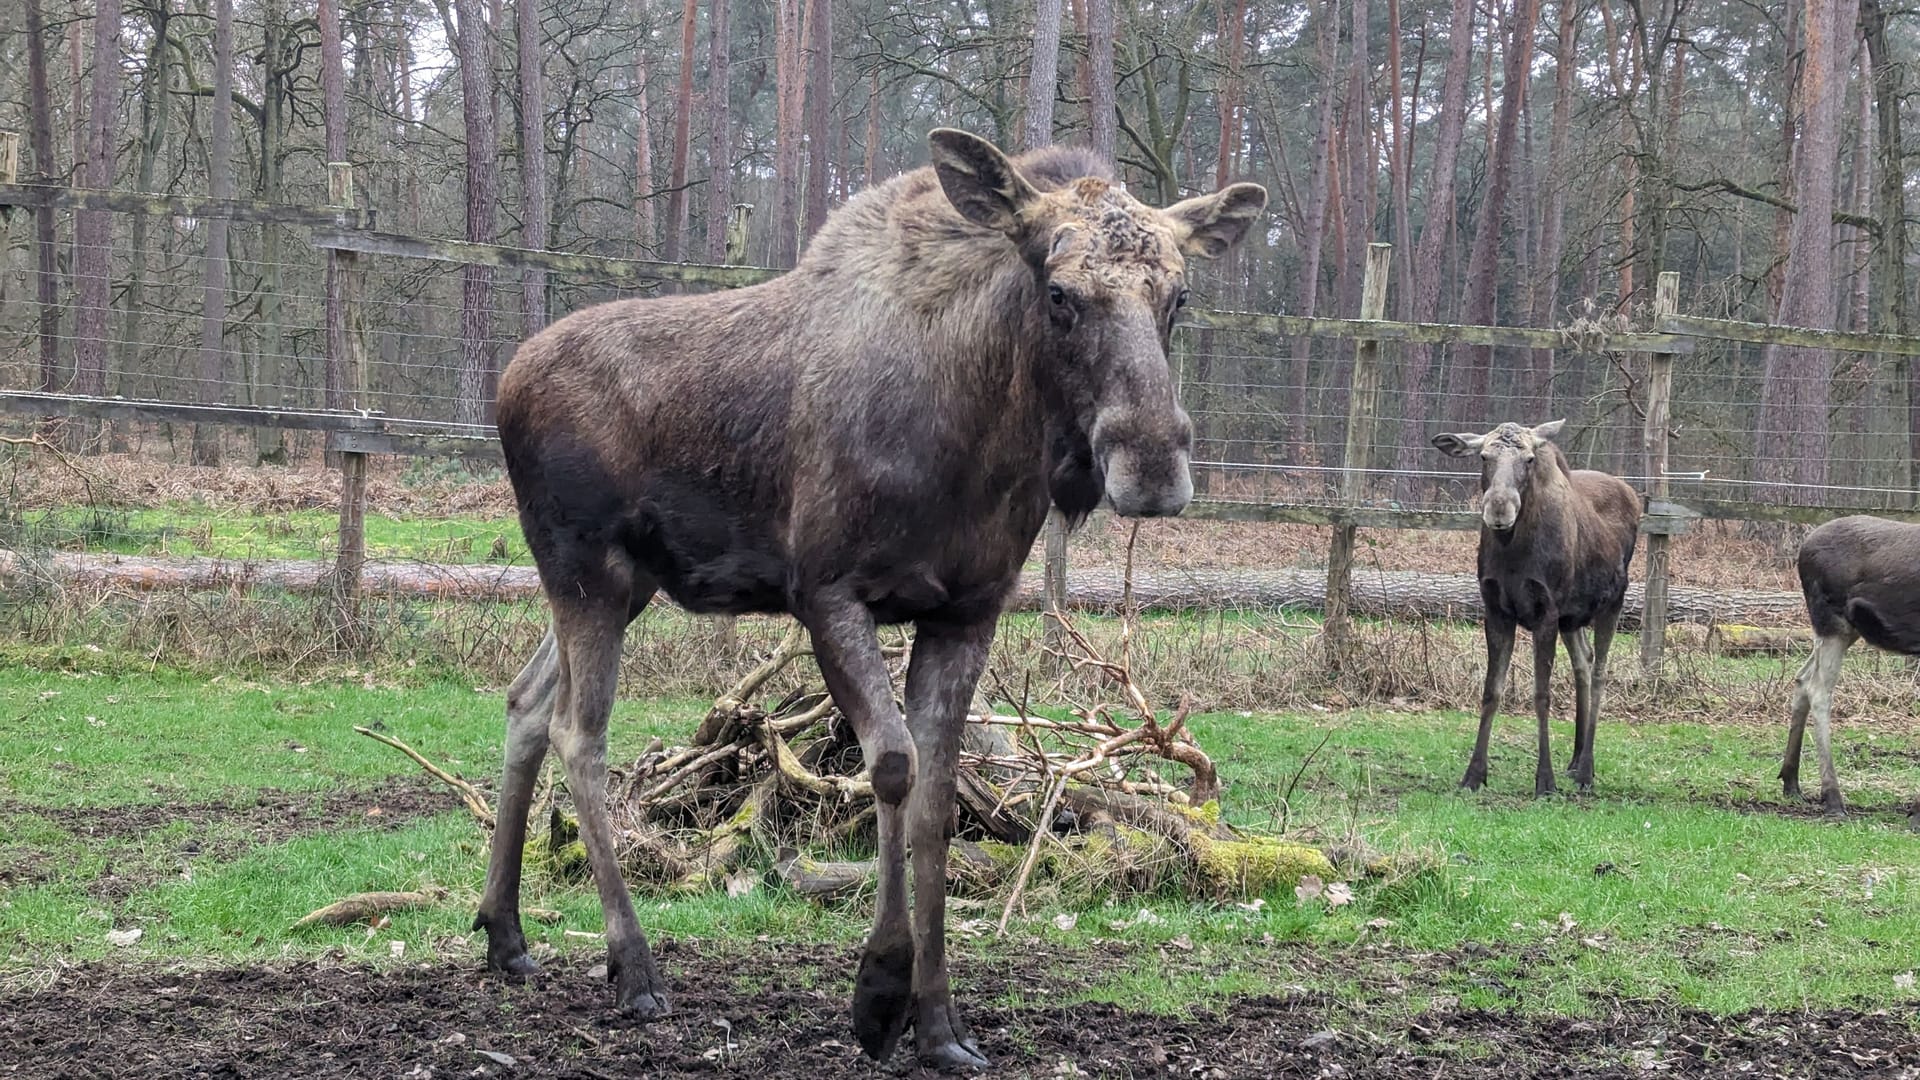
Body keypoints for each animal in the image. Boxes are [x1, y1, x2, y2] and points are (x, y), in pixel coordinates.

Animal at [472, 127, 1267, 1068]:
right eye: (1060, 294)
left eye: (1179, 296)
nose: (1152, 466)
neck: (978, 441)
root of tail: (504, 383)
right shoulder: (830, 594)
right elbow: (891, 766)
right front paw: (880, 992)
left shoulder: (968, 611)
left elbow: (940, 797)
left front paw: (941, 1023)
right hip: (587, 571)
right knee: (577, 733)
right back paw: (633, 970)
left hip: (625, 585)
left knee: (523, 701)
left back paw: (505, 931)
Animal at [1436, 418, 1643, 791]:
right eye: (1484, 457)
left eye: (1529, 459)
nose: (1499, 507)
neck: (1512, 549)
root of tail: (1634, 496)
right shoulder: (1496, 611)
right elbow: (1491, 691)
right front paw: (1474, 774)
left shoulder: (1545, 612)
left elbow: (1541, 695)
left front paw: (1544, 780)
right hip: (1572, 619)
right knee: (1584, 663)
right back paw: (1575, 760)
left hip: (1613, 602)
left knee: (1600, 673)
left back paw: (1586, 770)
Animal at [1774, 518, 1920, 810]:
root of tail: (1804, 548)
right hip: (1833, 623)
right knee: (1818, 690)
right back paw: (1832, 796)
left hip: (1845, 631)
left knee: (1801, 678)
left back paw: (1791, 781)